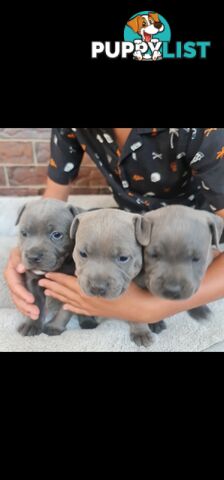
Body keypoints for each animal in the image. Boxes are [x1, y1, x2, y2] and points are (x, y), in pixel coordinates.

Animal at [15, 199, 96, 338]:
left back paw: (88, 321)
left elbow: (65, 311)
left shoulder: (72, 290)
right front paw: (32, 325)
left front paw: (54, 327)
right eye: (24, 233)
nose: (32, 256)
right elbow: (36, 305)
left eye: (57, 235)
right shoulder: (33, 282)